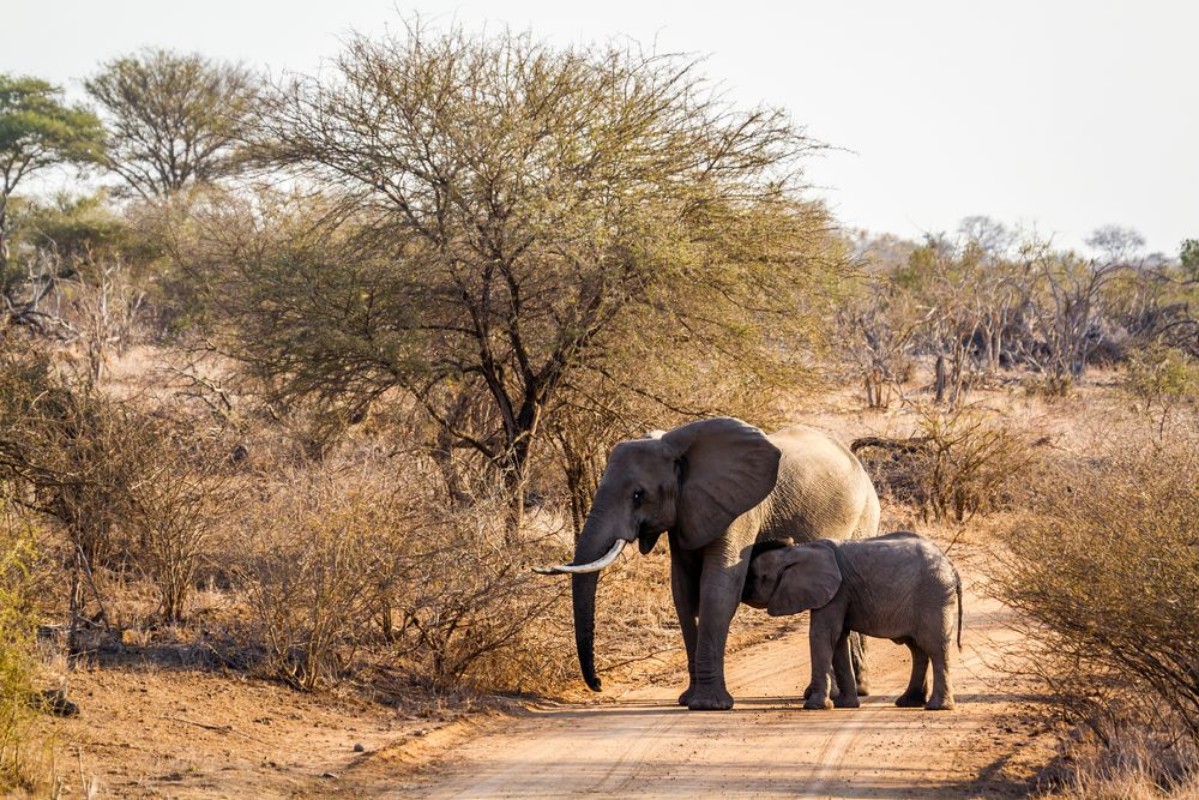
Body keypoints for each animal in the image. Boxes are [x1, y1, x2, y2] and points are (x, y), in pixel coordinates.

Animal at [536, 417, 881, 711]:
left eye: (638, 495)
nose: (597, 683)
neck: (676, 446)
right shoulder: (686, 511)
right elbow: (684, 592)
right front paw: (688, 700)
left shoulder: (740, 509)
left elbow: (718, 588)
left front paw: (708, 705)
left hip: (865, 516)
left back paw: (846, 693)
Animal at [741, 531, 962, 711]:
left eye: (759, 576)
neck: (800, 550)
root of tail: (951, 566)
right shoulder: (837, 593)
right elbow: (838, 639)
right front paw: (845, 704)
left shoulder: (837, 592)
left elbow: (823, 635)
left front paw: (815, 706)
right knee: (918, 649)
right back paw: (909, 702)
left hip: (933, 596)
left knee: (934, 646)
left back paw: (937, 707)